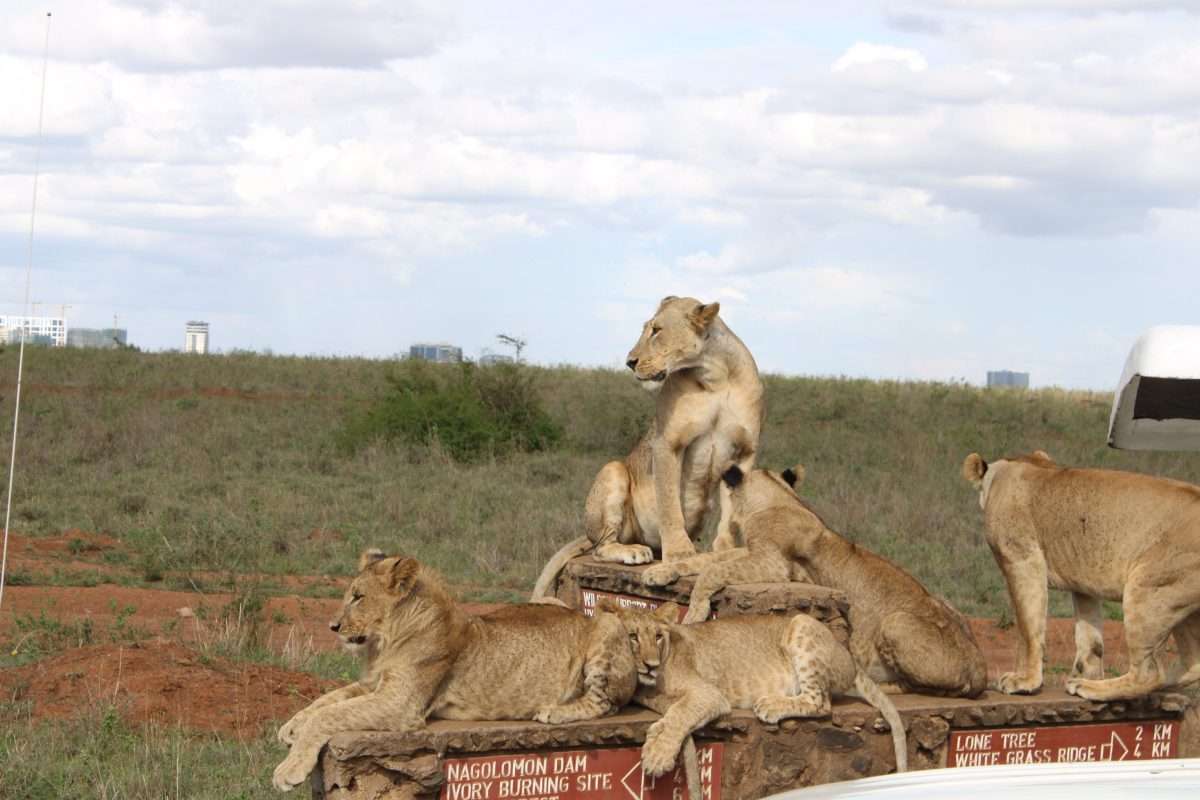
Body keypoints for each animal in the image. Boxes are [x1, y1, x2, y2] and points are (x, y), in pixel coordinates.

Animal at [272, 550, 636, 792]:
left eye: (358, 597)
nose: (332, 627)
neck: (382, 644)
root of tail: (581, 614)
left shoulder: (400, 703)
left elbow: (331, 714)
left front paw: (288, 769)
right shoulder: (371, 685)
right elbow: (327, 700)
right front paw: (291, 726)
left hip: (607, 624)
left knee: (605, 702)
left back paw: (553, 712)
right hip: (550, 601)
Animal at [532, 296, 765, 599]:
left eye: (656, 330)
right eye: (647, 329)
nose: (630, 362)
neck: (715, 375)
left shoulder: (743, 453)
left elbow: (731, 513)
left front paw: (724, 550)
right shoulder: (667, 443)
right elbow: (668, 504)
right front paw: (680, 554)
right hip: (613, 472)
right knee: (600, 548)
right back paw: (632, 552)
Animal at [612, 601, 907, 789]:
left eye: (658, 636)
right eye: (633, 637)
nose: (650, 665)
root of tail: (849, 657)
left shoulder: (710, 694)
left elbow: (680, 715)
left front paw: (657, 756)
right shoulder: (670, 700)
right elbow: (674, 713)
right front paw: (654, 738)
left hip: (801, 624)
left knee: (821, 703)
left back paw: (770, 705)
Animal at [652, 464, 988, 697]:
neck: (781, 499)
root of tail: (980, 666)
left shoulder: (772, 563)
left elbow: (712, 570)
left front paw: (694, 612)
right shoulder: (748, 550)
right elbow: (705, 560)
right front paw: (660, 572)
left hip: (896, 623)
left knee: (922, 687)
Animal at [963, 450, 1200, 701]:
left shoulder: (1023, 561)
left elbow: (1027, 629)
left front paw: (1024, 681)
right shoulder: (1084, 583)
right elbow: (1090, 637)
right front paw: (1088, 673)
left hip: (1145, 590)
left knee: (1149, 674)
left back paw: (1093, 688)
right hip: (1180, 604)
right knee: (1191, 664)